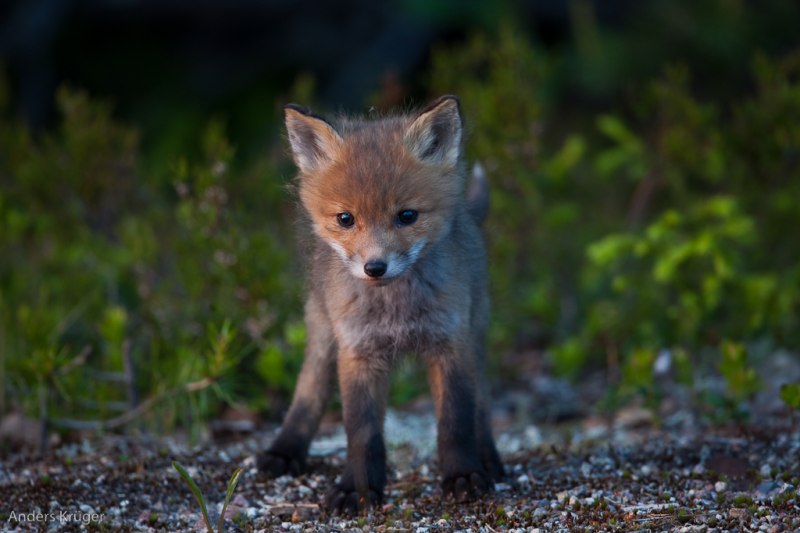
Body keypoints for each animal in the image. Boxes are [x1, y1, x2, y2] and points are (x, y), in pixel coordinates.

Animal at [257, 95, 504, 514]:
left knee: (483, 402)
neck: (395, 311)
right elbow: (362, 433)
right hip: (323, 334)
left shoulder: (450, 344)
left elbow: (455, 422)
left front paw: (462, 475)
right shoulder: (358, 351)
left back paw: (488, 457)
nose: (375, 267)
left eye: (407, 216)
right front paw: (357, 488)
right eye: (345, 218)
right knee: (307, 392)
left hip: (475, 333)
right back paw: (285, 449)